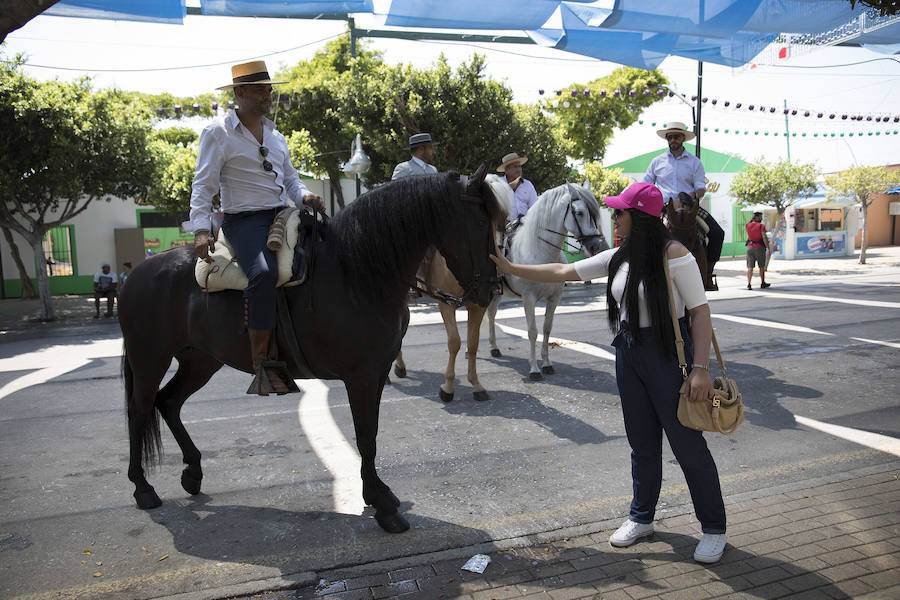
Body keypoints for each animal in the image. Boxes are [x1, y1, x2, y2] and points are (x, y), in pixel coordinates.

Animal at [116, 165, 502, 536]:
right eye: (482, 221)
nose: (491, 290)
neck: (358, 272)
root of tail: (137, 273)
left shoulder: (378, 372)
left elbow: (372, 433)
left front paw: (381, 495)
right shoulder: (361, 376)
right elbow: (365, 437)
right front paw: (382, 505)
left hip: (200, 360)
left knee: (168, 402)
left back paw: (193, 473)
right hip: (150, 358)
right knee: (139, 410)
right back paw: (142, 488)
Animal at [488, 180, 608, 380]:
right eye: (579, 212)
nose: (595, 246)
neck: (540, 253)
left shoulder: (554, 298)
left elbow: (546, 329)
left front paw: (546, 364)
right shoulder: (528, 299)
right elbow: (532, 332)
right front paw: (534, 369)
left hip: (497, 294)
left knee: (491, 315)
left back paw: (494, 347)